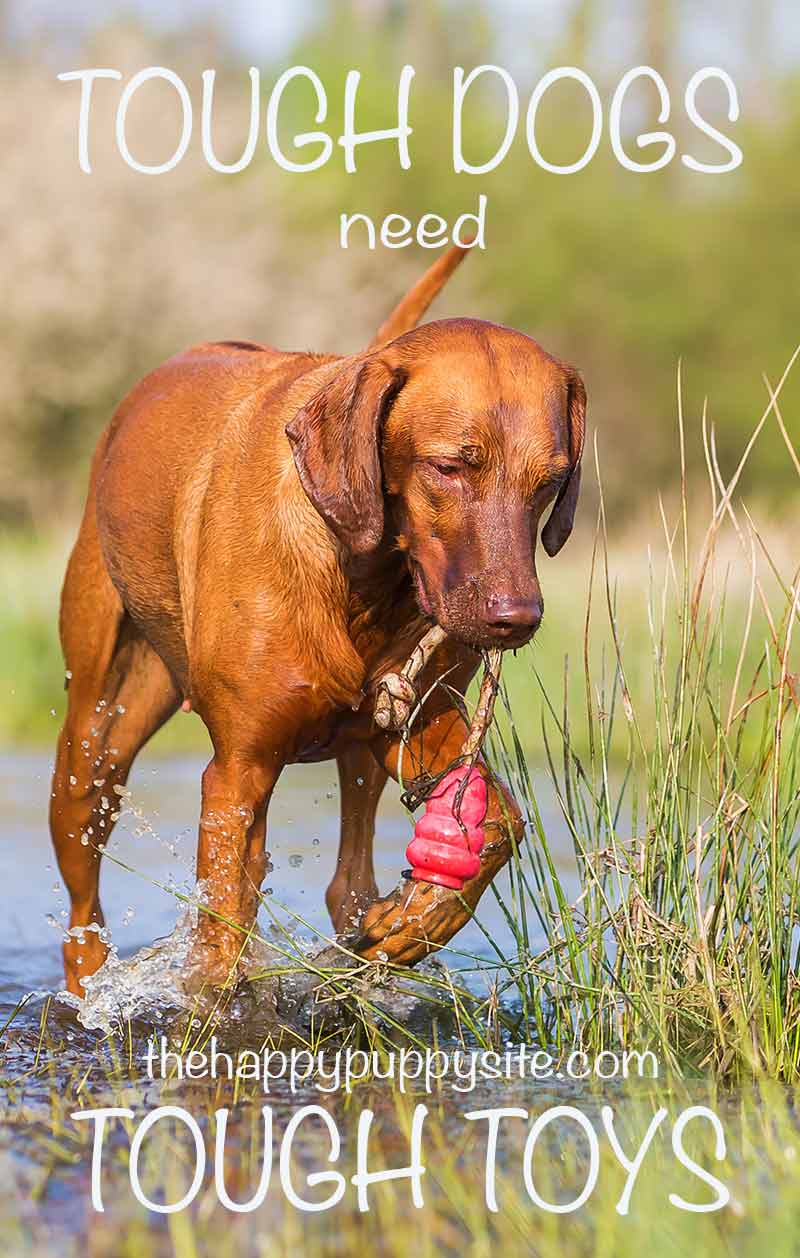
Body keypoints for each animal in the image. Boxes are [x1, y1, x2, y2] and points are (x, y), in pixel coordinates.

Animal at [51, 245, 588, 991]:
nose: (517, 619)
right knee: (85, 913)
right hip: (92, 746)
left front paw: (420, 918)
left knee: (347, 882)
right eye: (449, 467)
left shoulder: (419, 720)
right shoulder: (238, 769)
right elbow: (218, 939)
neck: (366, 578)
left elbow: (501, 819)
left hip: (358, 749)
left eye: (550, 482)